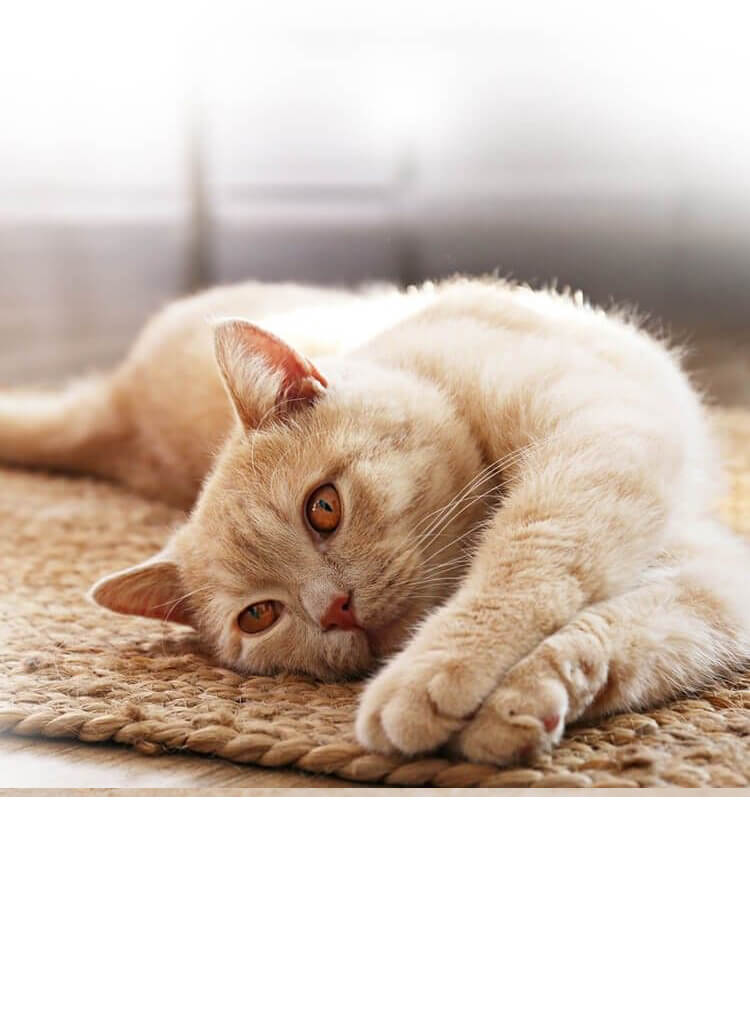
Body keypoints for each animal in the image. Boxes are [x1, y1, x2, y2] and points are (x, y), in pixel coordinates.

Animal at [1, 276, 750, 762]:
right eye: (260, 616)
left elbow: (528, 558)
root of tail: (120, 404)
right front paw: (521, 700)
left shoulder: (603, 439)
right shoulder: (711, 582)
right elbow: (624, 635)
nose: (335, 608)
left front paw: (435, 677)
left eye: (323, 508)